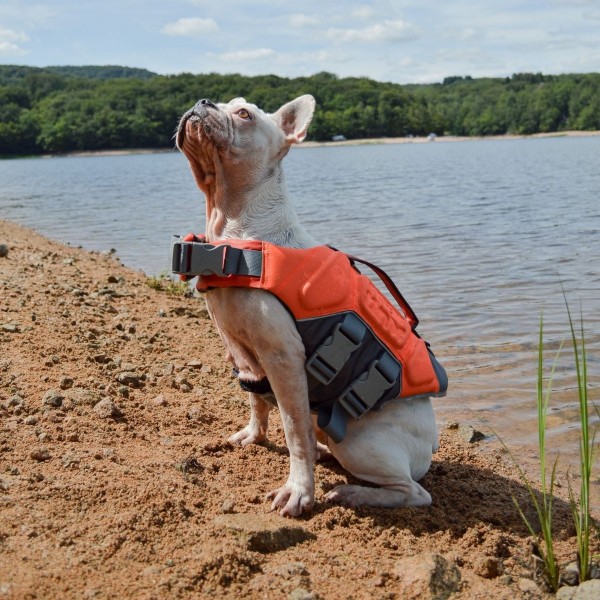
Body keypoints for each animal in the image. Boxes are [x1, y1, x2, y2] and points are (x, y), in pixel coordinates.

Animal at [176, 94, 438, 516]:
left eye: (244, 114)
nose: (203, 100)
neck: (234, 227)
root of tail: (432, 441)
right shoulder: (245, 357)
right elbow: (256, 400)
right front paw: (254, 434)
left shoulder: (282, 358)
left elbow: (293, 430)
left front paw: (299, 490)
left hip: (359, 443)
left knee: (413, 492)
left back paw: (352, 492)